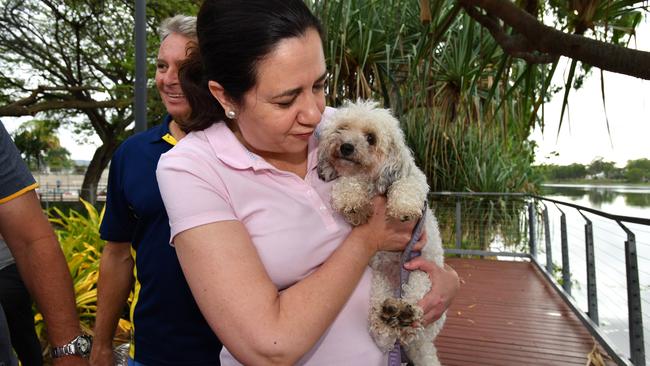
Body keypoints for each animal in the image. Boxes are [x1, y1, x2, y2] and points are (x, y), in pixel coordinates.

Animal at [316, 98, 442, 364]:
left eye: (371, 138)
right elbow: (347, 186)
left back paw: (405, 315)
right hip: (379, 284)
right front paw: (353, 202)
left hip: (422, 276)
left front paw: (402, 206)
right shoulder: (349, 182)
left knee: (414, 315)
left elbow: (407, 184)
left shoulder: (414, 180)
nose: (346, 147)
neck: (373, 182)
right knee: (385, 334)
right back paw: (388, 316)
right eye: (342, 128)